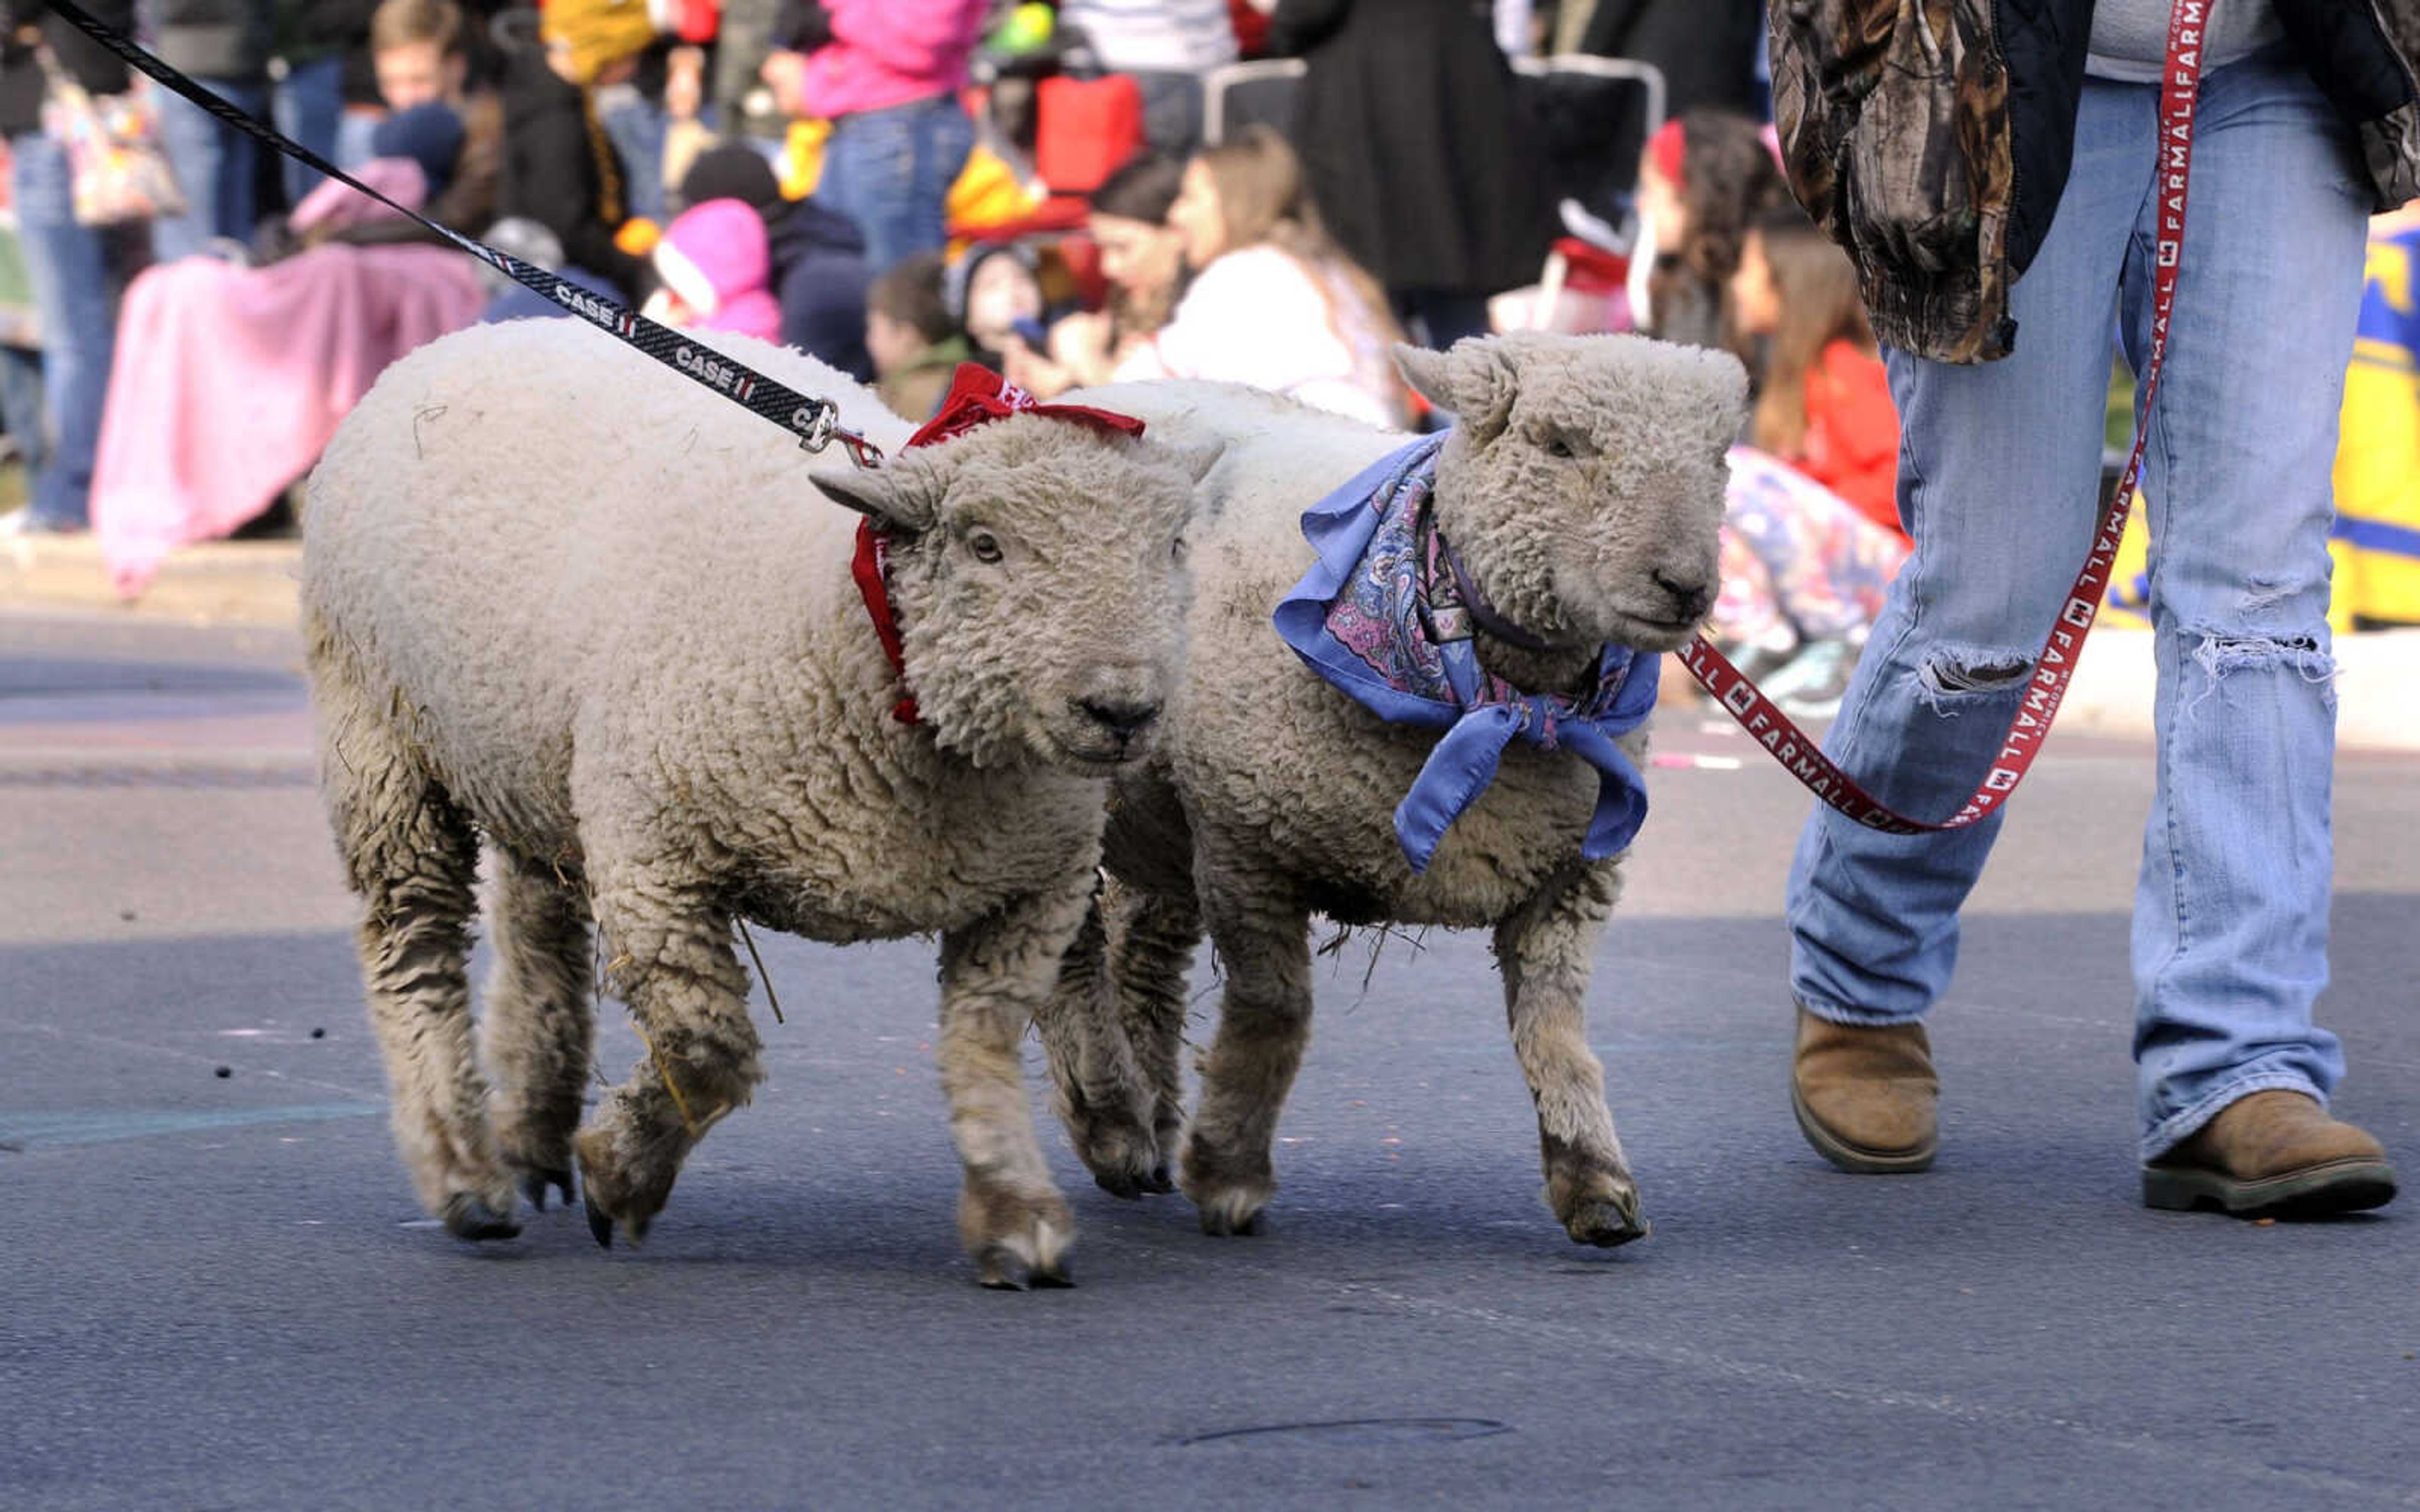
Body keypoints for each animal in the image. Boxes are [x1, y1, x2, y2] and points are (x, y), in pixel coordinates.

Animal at [302, 319, 1210, 1286]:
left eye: (1173, 546)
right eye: (984, 544)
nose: (1122, 709)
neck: (861, 629)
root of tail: (488, 326)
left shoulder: (1030, 890)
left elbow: (981, 1041)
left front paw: (1013, 1209)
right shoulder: (657, 865)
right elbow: (710, 1053)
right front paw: (620, 1175)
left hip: (535, 755)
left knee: (537, 922)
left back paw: (534, 1125)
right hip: (379, 734)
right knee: (415, 940)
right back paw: (464, 1173)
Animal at [1035, 336, 1742, 1248]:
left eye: (1719, 458)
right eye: (1558, 445)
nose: (1685, 585)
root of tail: (1100, 391)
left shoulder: (1570, 878)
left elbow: (1555, 1030)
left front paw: (1595, 1182)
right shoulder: (1246, 839)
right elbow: (1273, 1010)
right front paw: (1229, 1173)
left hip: (1163, 816)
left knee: (1144, 956)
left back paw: (1147, 1127)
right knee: (1074, 954)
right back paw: (1113, 1122)